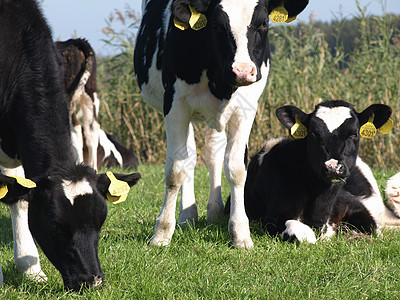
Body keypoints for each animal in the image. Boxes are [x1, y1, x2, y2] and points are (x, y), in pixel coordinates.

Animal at [134, 0, 310, 248]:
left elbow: (235, 168)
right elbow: (176, 170)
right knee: (190, 157)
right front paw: (162, 233)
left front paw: (240, 233)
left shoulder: (246, 108)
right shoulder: (175, 106)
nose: (243, 71)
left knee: (212, 155)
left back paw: (214, 212)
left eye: (263, 23)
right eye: (217, 25)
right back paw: (187, 216)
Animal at [228, 101, 400, 244]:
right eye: (313, 133)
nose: (333, 167)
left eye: (354, 134)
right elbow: (302, 232)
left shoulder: (354, 205)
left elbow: (372, 229)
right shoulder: (273, 216)